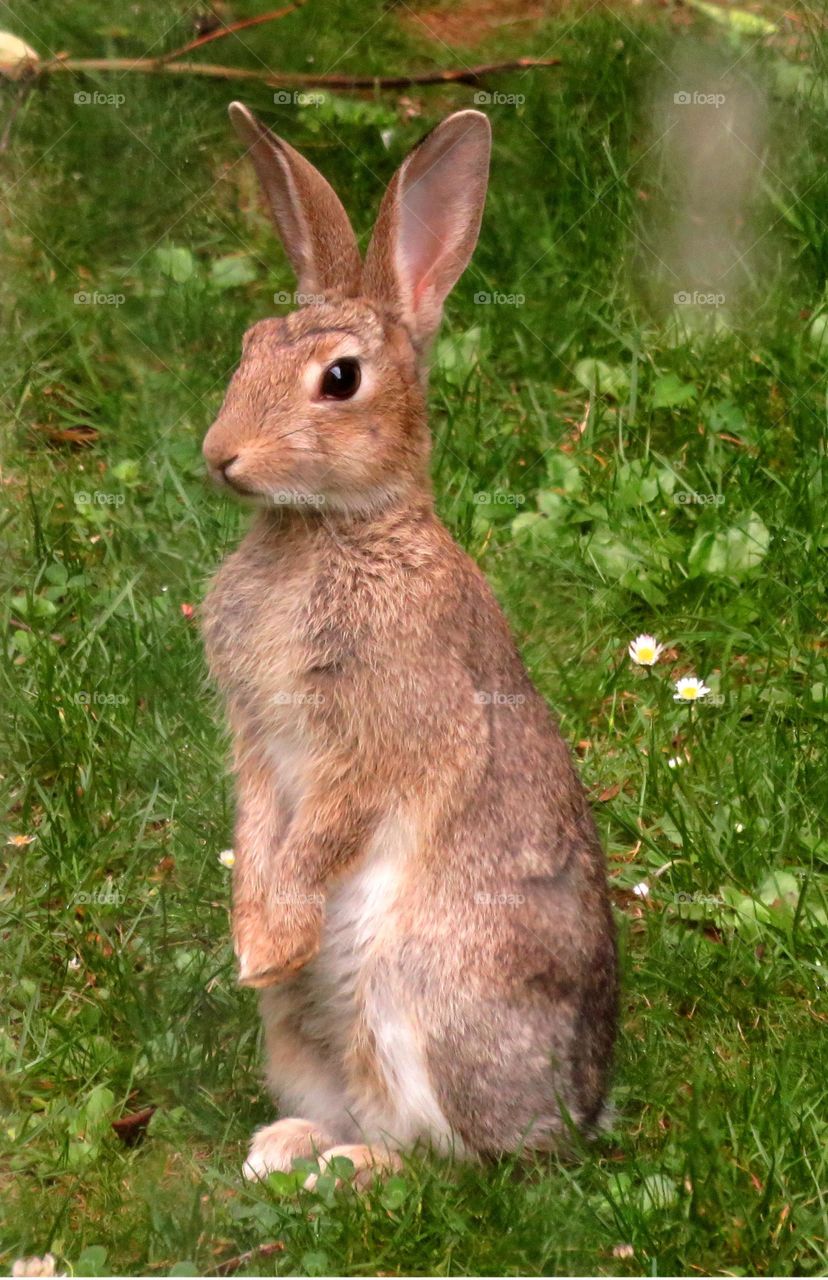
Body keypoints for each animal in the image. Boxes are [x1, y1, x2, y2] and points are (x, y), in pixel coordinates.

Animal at [201, 102, 618, 1185]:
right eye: (249, 344)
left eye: (340, 379)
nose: (220, 455)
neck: (333, 528)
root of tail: (584, 1109)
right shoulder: (254, 738)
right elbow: (260, 820)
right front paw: (254, 936)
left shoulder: (380, 735)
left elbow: (323, 832)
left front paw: (267, 940)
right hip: (298, 1039)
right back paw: (289, 1149)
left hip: (426, 998)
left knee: (458, 1160)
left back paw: (350, 1170)